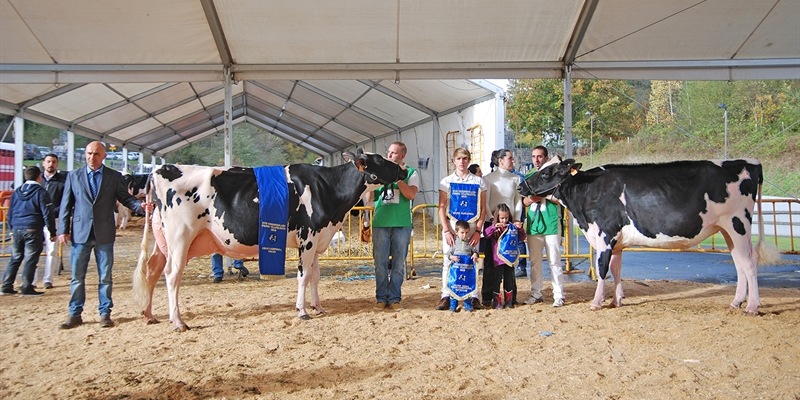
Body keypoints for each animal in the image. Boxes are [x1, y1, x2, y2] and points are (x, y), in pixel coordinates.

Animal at [134, 152, 406, 330]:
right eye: (381, 160)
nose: (404, 169)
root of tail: (159, 170)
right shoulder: (307, 237)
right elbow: (303, 276)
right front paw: (302, 311)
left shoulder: (318, 239)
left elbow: (315, 276)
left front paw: (318, 307)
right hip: (180, 237)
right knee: (171, 275)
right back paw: (178, 322)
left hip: (163, 242)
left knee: (152, 271)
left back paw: (149, 314)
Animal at [520, 158, 780, 314]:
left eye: (546, 173)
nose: (522, 188)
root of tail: (749, 163)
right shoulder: (616, 241)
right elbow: (616, 269)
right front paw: (616, 300)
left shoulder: (604, 235)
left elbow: (602, 269)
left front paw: (596, 302)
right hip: (727, 229)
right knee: (739, 262)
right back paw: (736, 302)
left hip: (738, 223)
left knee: (749, 262)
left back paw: (752, 306)